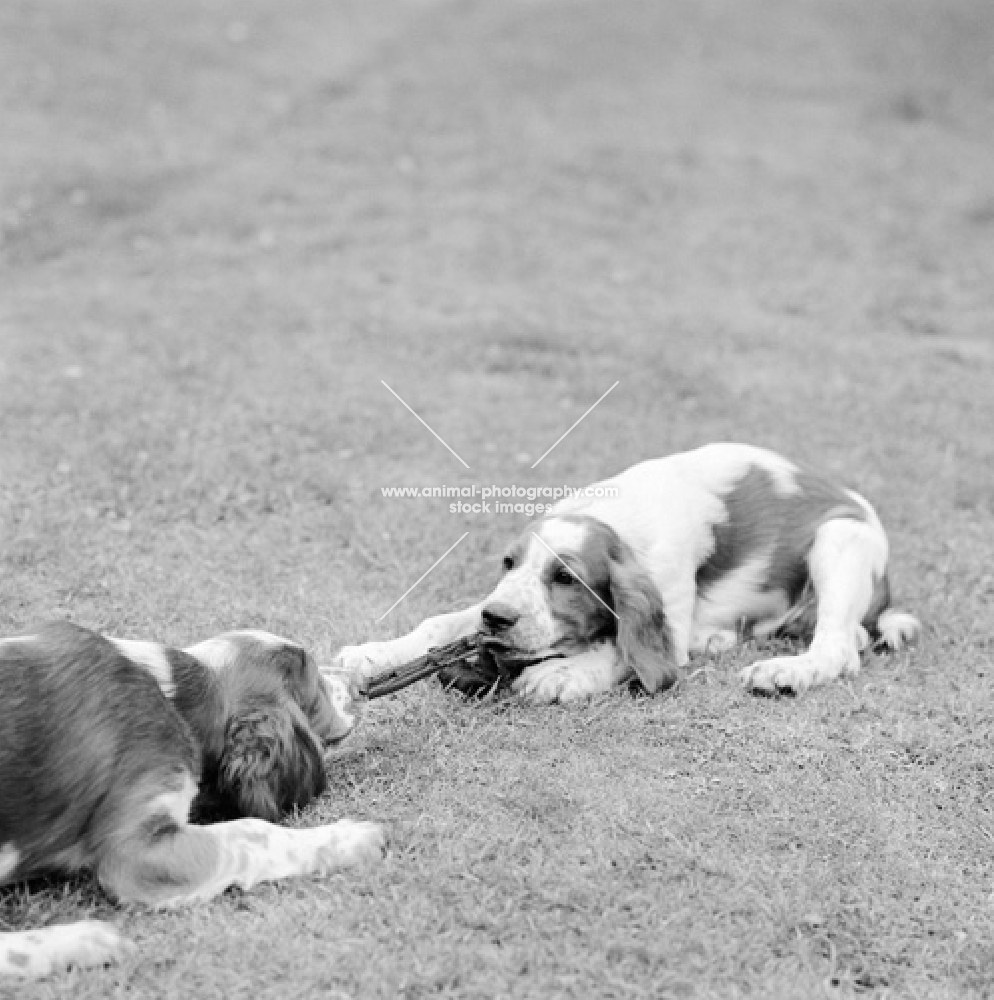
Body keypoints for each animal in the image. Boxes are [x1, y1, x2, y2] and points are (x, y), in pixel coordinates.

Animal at [0, 620, 380, 980]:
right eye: (315, 683)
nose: (356, 682)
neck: (175, 698)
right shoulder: (133, 852)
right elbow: (252, 831)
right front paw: (350, 837)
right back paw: (84, 941)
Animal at [338, 446, 920, 704]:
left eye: (566, 578)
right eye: (508, 563)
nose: (497, 619)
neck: (618, 521)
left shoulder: (667, 613)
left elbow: (621, 649)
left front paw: (562, 674)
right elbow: (440, 623)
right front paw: (373, 653)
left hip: (840, 540)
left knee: (840, 647)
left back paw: (785, 671)